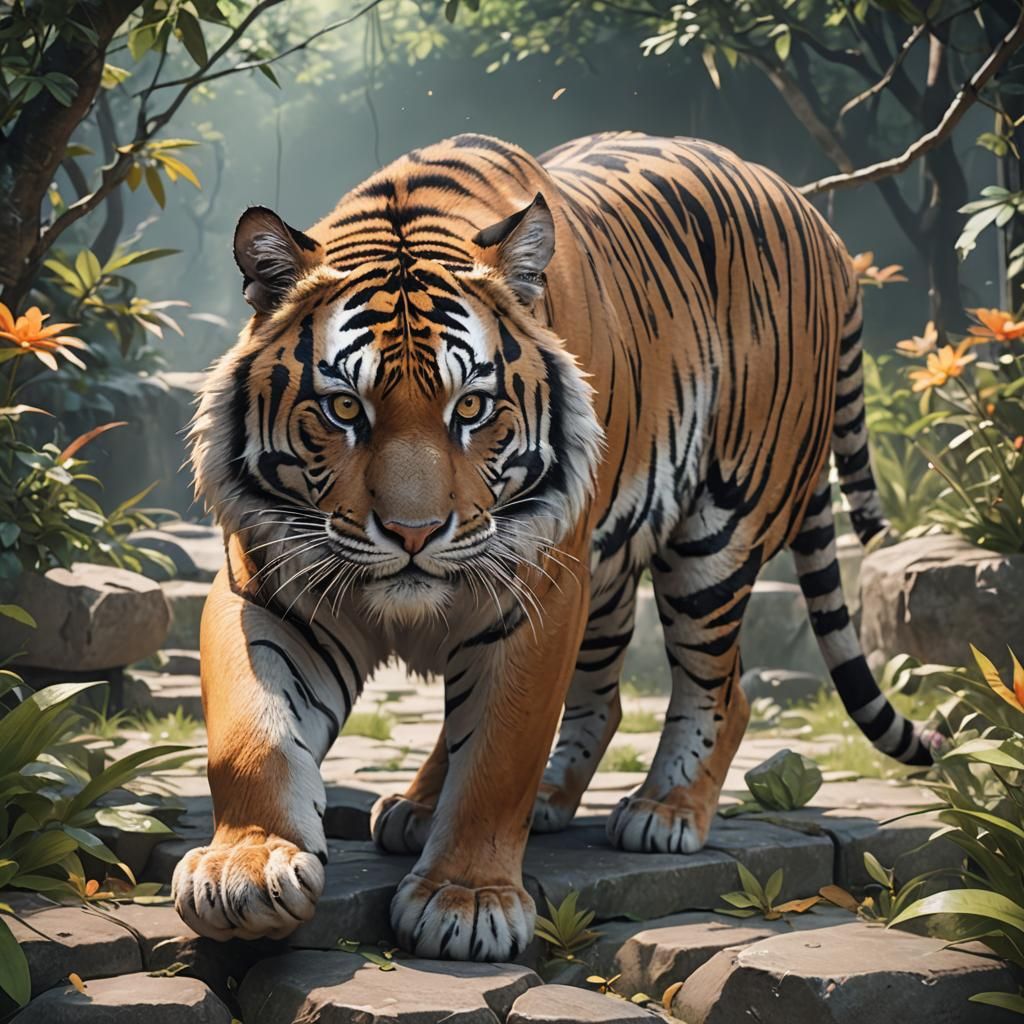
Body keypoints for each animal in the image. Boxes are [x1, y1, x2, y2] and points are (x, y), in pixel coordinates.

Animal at [173, 131, 942, 961]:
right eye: (344, 408)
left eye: (472, 407)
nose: (413, 535)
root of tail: (815, 218)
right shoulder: (267, 589)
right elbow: (250, 737)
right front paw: (244, 868)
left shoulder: (537, 589)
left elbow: (501, 751)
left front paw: (466, 901)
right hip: (606, 568)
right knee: (602, 695)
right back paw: (470, 801)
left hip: (721, 528)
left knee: (723, 689)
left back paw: (665, 810)